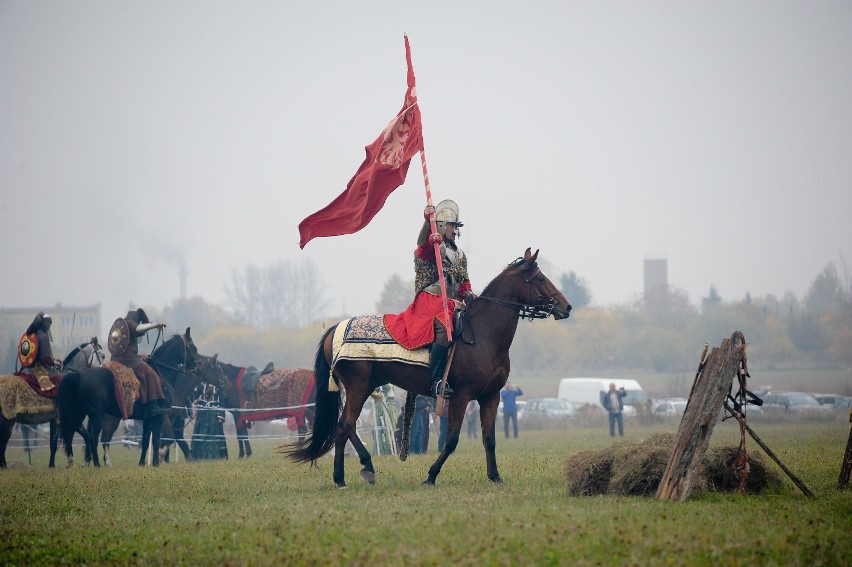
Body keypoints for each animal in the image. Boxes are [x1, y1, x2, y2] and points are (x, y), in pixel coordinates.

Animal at [0, 338, 104, 470]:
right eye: (102, 355)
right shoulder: (65, 419)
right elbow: (60, 442)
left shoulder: (60, 420)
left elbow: (82, 437)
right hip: (8, 421)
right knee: (3, 442)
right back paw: (4, 466)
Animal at [57, 326, 226, 468]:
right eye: (193, 348)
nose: (197, 367)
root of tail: (80, 375)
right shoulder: (161, 417)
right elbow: (162, 440)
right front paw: (158, 461)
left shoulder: (149, 418)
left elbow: (146, 441)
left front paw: (143, 463)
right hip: (99, 416)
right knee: (94, 437)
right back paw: (98, 464)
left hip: (82, 414)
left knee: (77, 434)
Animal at [286, 248, 572, 488]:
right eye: (540, 279)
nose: (566, 307)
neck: (483, 335)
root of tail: (335, 329)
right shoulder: (460, 396)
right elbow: (452, 439)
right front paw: (431, 475)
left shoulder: (491, 397)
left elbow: (489, 438)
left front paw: (495, 476)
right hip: (358, 387)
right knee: (346, 425)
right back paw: (364, 468)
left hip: (364, 387)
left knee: (342, 428)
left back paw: (342, 478)